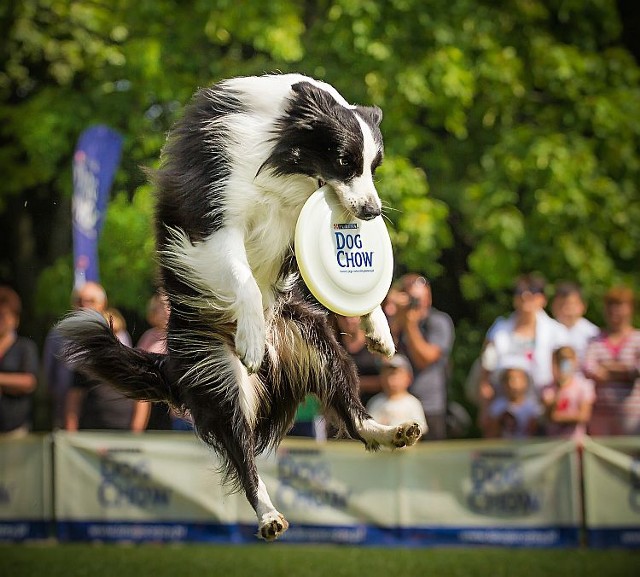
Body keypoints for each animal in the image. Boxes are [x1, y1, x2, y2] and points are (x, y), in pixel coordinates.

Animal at [57, 73, 422, 540]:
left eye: (373, 168)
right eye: (344, 161)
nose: (373, 212)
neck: (281, 149)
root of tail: (169, 363)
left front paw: (380, 331)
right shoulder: (213, 220)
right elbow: (245, 281)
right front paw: (250, 340)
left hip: (318, 343)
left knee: (352, 413)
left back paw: (393, 432)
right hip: (218, 378)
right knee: (243, 456)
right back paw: (268, 514)